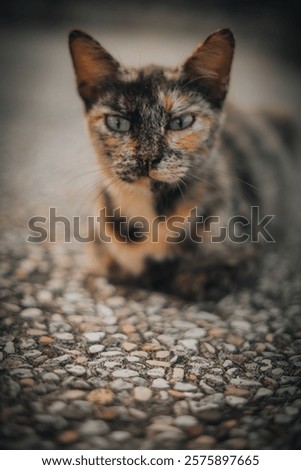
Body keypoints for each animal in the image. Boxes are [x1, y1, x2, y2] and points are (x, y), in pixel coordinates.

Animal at [67, 29, 292, 300]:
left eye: (181, 122)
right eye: (118, 123)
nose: (148, 157)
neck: (154, 214)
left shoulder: (242, 254)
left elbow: (193, 279)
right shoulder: (97, 249)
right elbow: (111, 268)